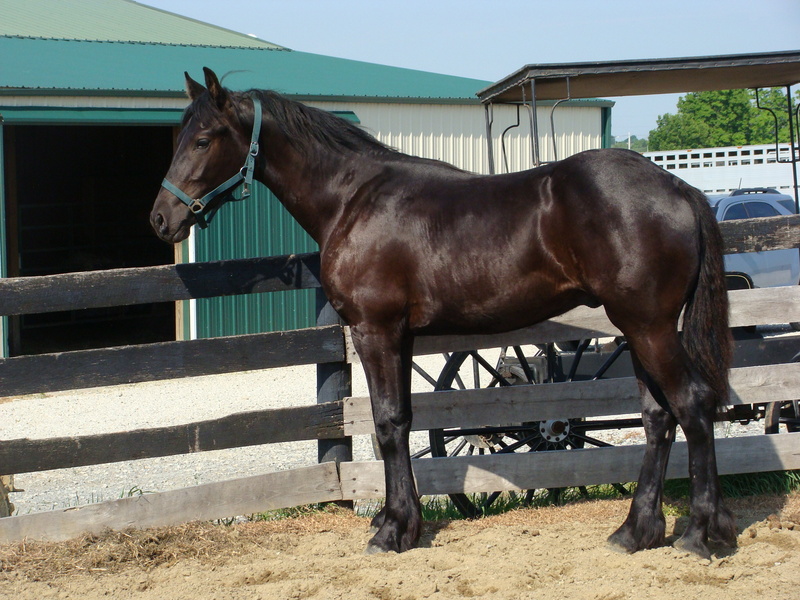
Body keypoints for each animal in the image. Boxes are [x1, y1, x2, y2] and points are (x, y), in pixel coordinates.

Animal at [151, 67, 737, 558]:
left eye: (203, 139)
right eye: (178, 138)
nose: (161, 218)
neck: (353, 198)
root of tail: (678, 187)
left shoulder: (374, 330)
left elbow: (387, 424)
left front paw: (391, 532)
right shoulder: (402, 336)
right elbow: (404, 420)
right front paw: (404, 521)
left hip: (649, 327)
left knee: (692, 405)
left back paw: (699, 534)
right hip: (637, 329)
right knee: (659, 416)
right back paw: (636, 531)